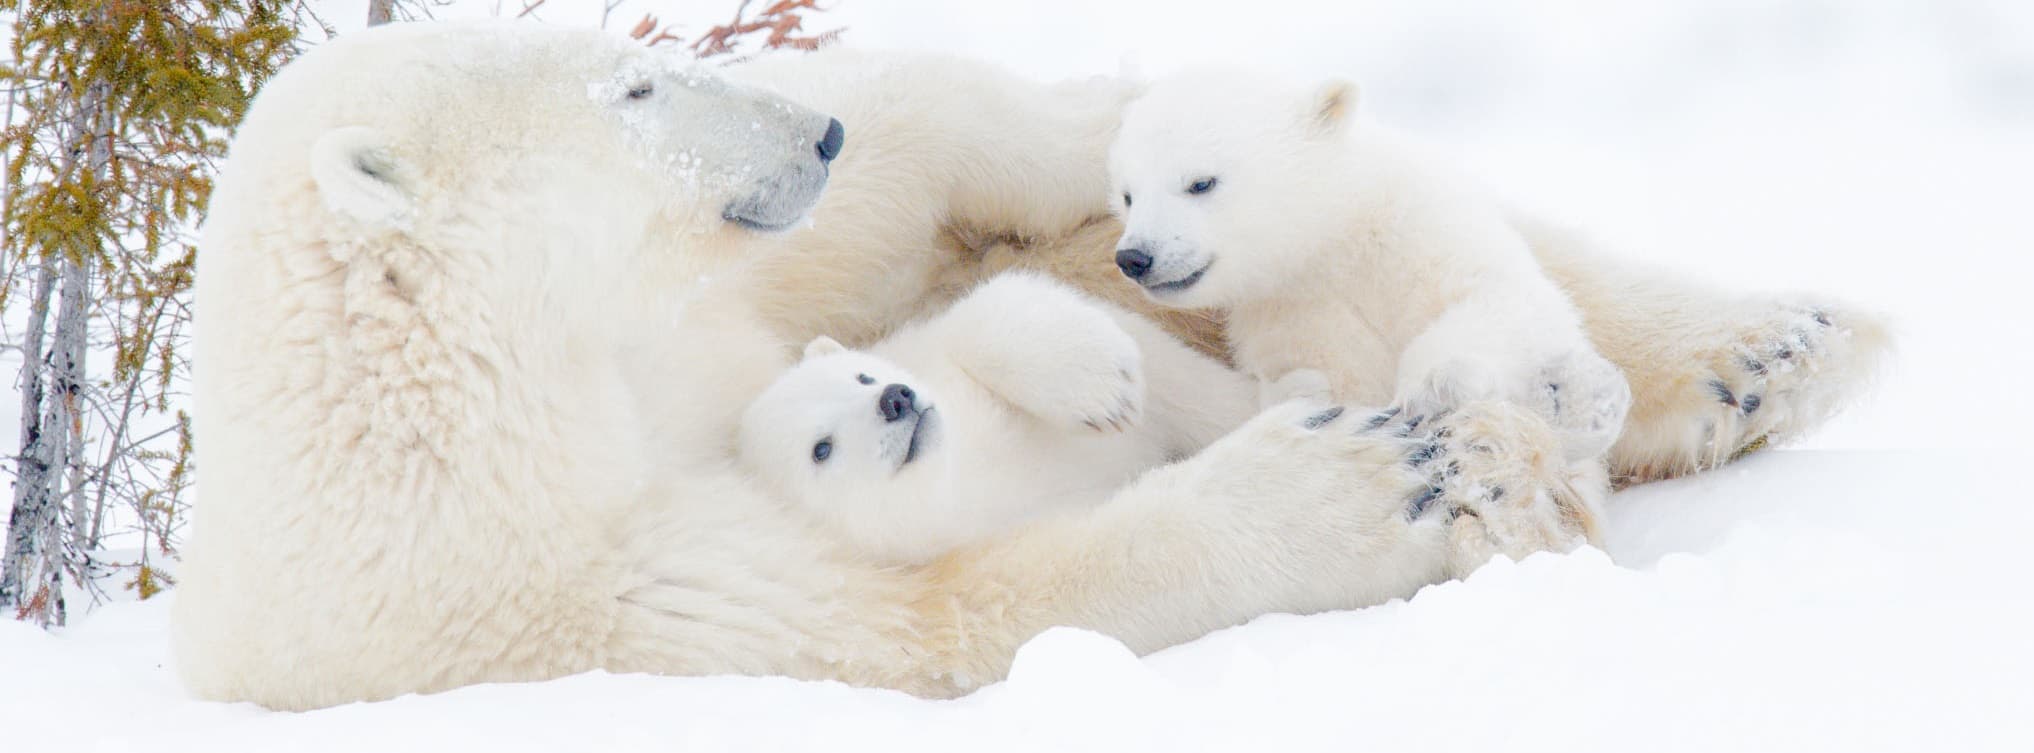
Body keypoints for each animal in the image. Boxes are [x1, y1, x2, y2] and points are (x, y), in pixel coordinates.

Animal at [738, 272, 1255, 565]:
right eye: (821, 449)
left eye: (862, 375)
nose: (895, 399)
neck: (965, 468)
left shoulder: (932, 350)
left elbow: (987, 309)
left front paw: (1103, 390)